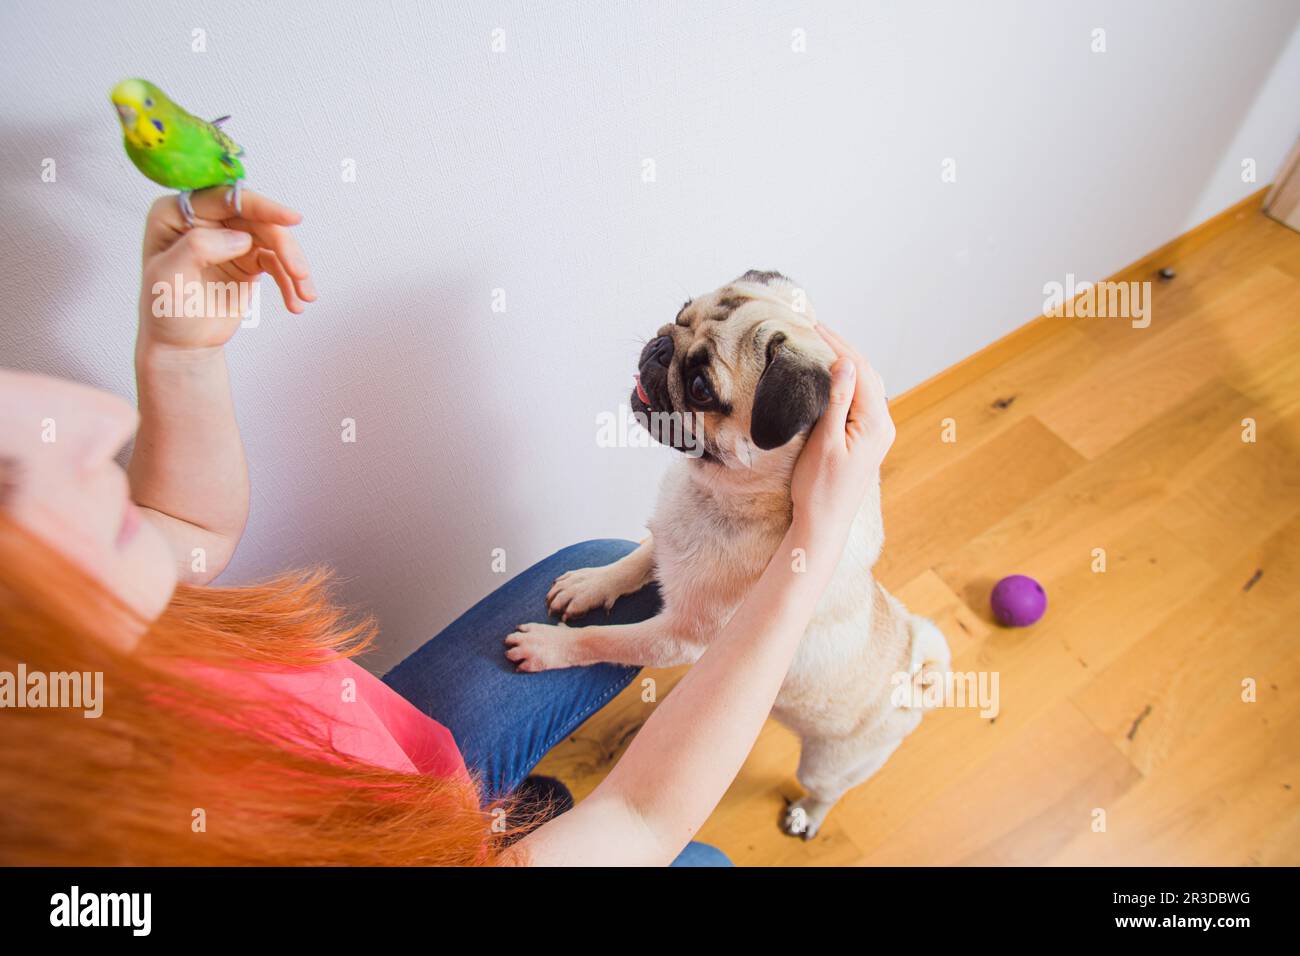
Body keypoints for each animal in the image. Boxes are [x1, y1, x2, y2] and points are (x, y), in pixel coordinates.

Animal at [504, 269, 946, 837]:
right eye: (680, 313)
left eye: (700, 389)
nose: (661, 347)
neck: (718, 494)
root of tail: (916, 675)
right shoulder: (667, 534)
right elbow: (637, 560)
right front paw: (590, 585)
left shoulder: (677, 639)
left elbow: (606, 640)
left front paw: (551, 646)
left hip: (833, 762)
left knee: (828, 791)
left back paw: (807, 816)